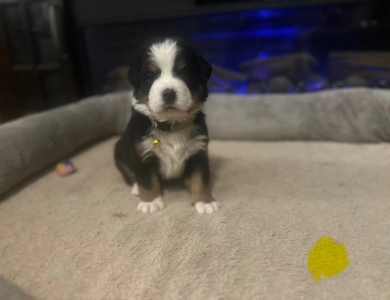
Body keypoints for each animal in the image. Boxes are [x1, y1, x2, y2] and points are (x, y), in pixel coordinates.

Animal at [114, 37, 221, 214]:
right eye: (150, 77)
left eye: (185, 73)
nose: (169, 94)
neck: (172, 126)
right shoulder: (142, 153)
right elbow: (146, 180)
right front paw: (150, 202)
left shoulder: (198, 151)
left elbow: (199, 178)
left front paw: (204, 202)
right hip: (119, 152)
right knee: (128, 174)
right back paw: (136, 188)